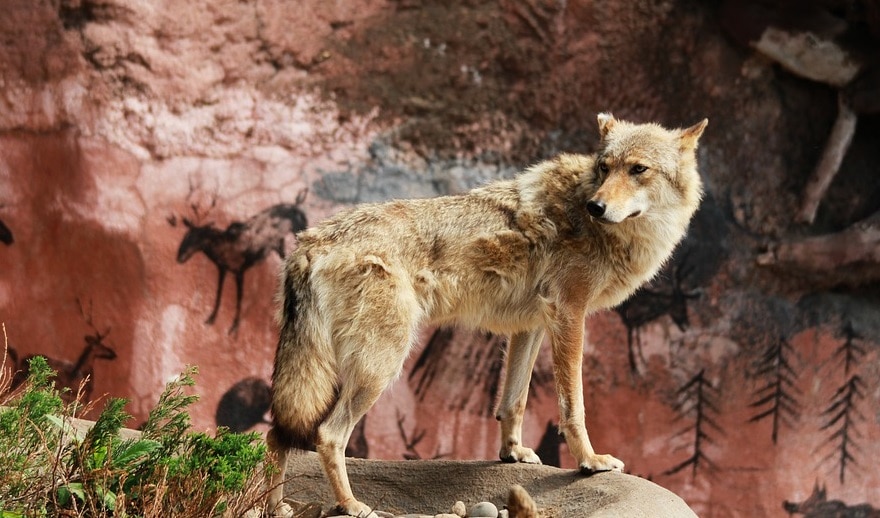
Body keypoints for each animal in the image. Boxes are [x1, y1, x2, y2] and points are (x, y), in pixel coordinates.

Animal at [268, 112, 708, 516]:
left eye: (638, 169)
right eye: (605, 167)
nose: (596, 206)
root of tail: (309, 243)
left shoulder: (533, 324)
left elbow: (514, 401)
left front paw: (513, 453)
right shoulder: (569, 313)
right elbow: (573, 406)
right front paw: (590, 461)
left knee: (276, 434)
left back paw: (276, 506)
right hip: (381, 367)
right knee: (327, 435)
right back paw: (352, 505)